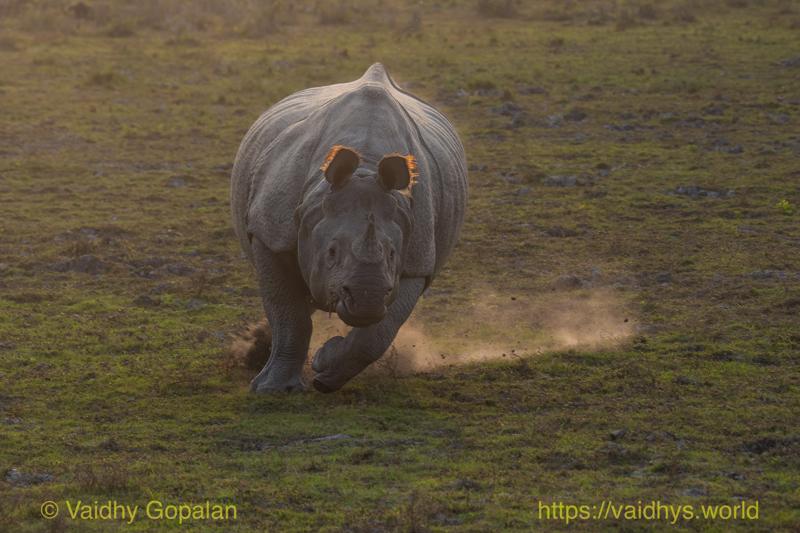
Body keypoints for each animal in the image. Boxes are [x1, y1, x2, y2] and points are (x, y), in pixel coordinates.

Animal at [230, 63, 467, 393]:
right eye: (331, 252)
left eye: (392, 254)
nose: (366, 298)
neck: (365, 166)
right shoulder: (270, 234)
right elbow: (289, 315)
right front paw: (274, 390)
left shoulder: (417, 259)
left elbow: (379, 333)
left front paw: (325, 371)